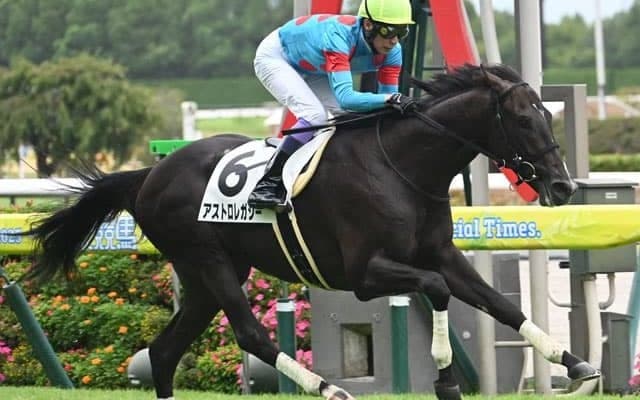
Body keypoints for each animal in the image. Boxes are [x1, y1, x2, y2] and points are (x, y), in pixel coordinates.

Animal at [22, 64, 599, 400]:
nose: (563, 186)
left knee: (164, 353)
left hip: (208, 274)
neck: (403, 166)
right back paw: (327, 388)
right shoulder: (366, 274)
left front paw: (573, 363)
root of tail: (149, 174)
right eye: (523, 120)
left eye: (549, 115)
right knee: (249, 333)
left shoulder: (441, 254)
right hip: (207, 259)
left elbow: (498, 303)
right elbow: (435, 292)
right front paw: (443, 379)